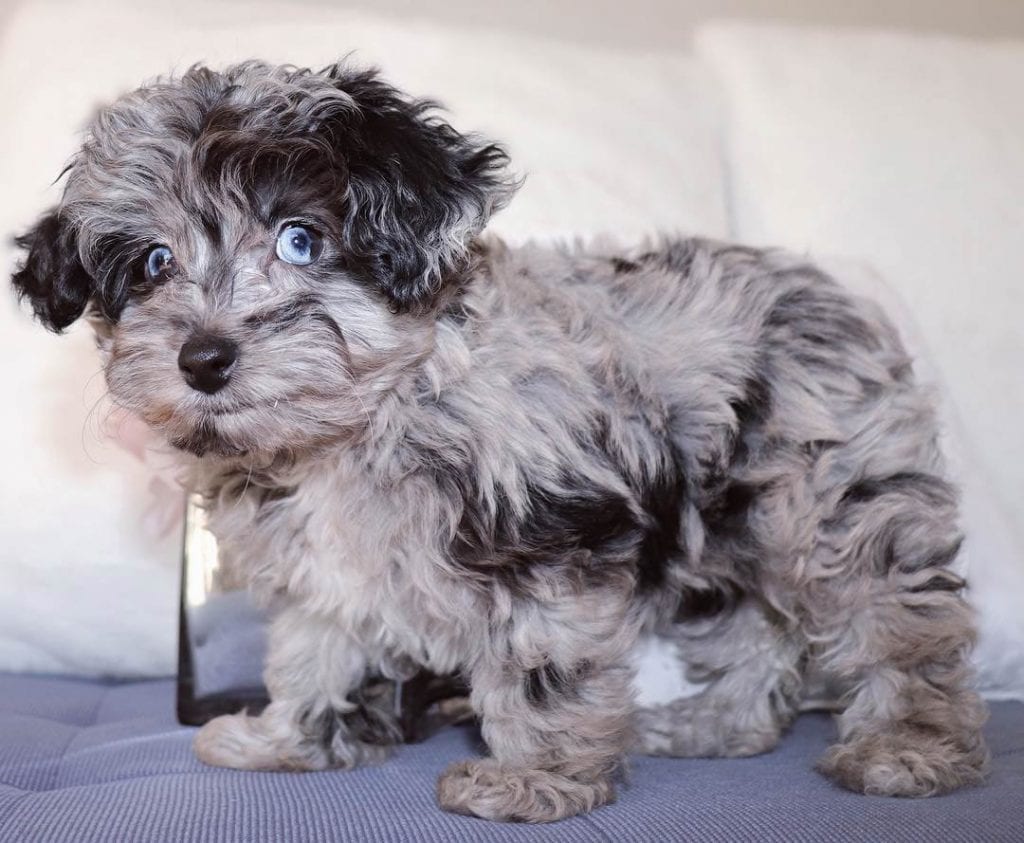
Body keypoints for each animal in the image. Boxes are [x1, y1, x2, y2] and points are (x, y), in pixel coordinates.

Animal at [8, 60, 983, 823]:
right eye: (152, 264)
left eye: (300, 239)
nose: (203, 359)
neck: (365, 420)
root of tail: (826, 286)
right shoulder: (328, 570)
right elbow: (314, 647)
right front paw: (289, 739)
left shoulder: (545, 540)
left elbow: (539, 665)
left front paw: (533, 778)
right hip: (728, 519)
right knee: (758, 623)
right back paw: (717, 725)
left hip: (828, 504)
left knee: (899, 620)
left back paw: (909, 748)